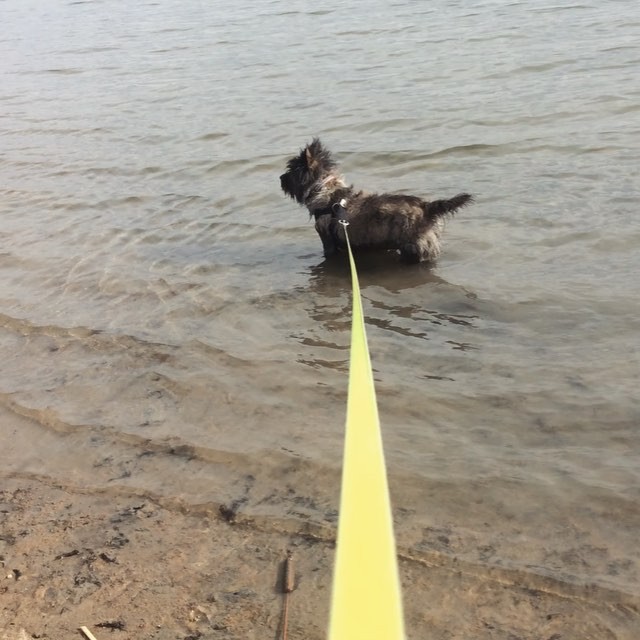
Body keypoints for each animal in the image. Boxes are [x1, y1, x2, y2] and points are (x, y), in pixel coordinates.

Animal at [278, 138, 470, 262]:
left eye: (290, 171)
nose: (280, 178)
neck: (326, 189)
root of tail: (428, 207)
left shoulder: (326, 239)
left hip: (413, 247)